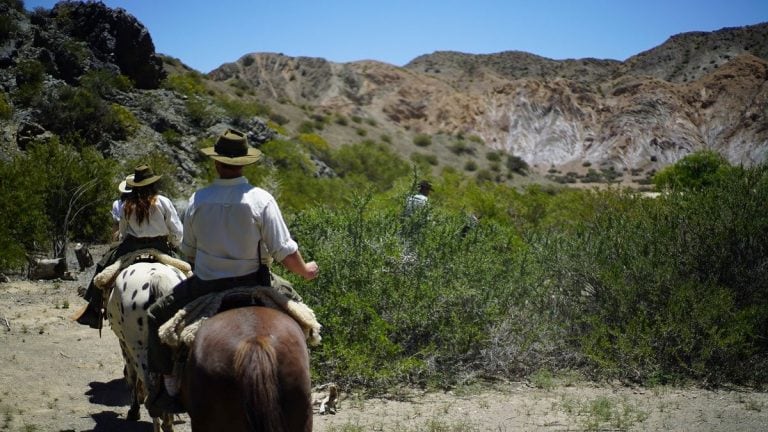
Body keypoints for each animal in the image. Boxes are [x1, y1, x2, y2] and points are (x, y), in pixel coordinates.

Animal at [95, 250, 190, 432]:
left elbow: (131, 375)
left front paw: (133, 411)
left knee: (151, 394)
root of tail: (158, 279)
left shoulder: (124, 345)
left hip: (139, 350)